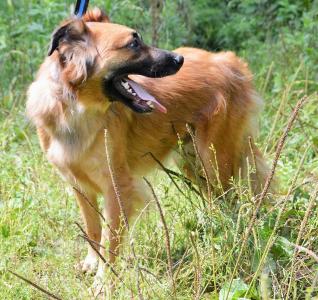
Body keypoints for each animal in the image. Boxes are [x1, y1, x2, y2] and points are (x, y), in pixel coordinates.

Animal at [26, 7, 268, 288]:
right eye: (133, 44)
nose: (179, 59)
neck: (76, 108)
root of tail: (229, 61)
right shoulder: (79, 185)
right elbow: (92, 228)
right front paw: (92, 263)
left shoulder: (117, 186)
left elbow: (111, 238)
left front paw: (104, 281)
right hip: (194, 163)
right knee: (218, 201)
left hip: (214, 161)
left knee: (233, 202)